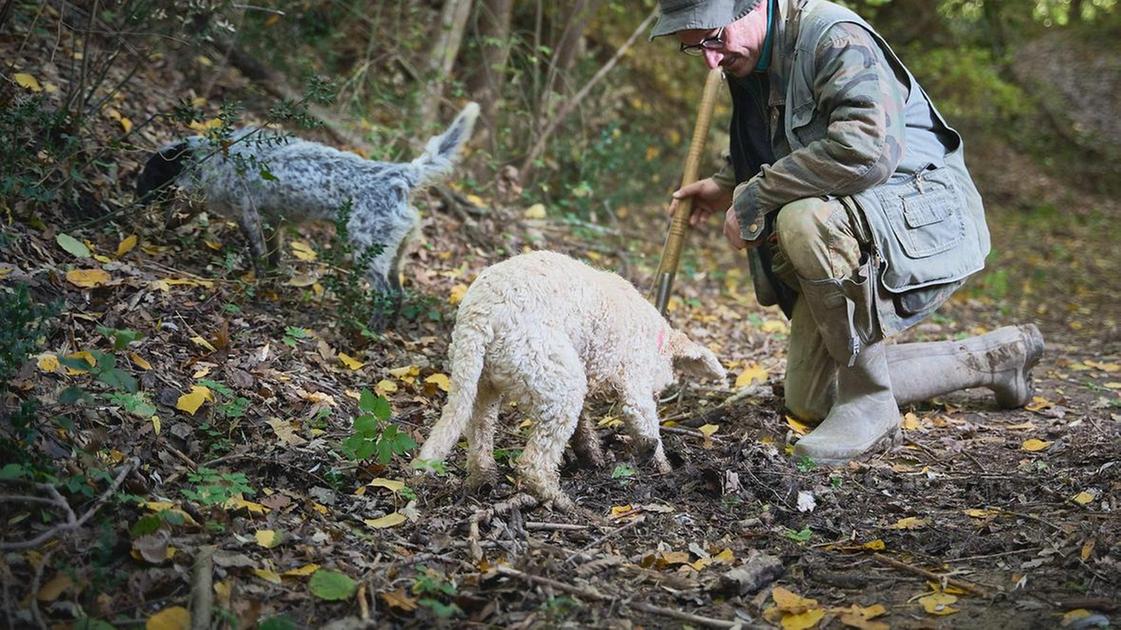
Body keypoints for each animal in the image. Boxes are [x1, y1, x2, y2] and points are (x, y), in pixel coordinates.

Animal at [419, 249, 726, 511]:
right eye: (657, 393)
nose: (659, 395)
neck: (655, 337)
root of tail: (480, 315)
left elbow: (583, 426)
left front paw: (593, 456)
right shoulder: (634, 389)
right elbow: (649, 428)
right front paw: (663, 466)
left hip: (481, 382)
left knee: (480, 431)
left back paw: (483, 479)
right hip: (558, 381)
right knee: (533, 464)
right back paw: (563, 503)